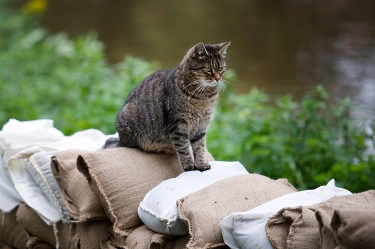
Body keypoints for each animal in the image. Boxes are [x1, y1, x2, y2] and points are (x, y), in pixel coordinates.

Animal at [104, 42, 231, 171]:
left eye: (221, 68)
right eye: (208, 69)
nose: (218, 79)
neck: (204, 96)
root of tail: (121, 140)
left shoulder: (201, 126)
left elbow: (200, 147)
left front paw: (200, 164)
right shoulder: (177, 124)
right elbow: (184, 147)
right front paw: (189, 165)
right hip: (129, 114)